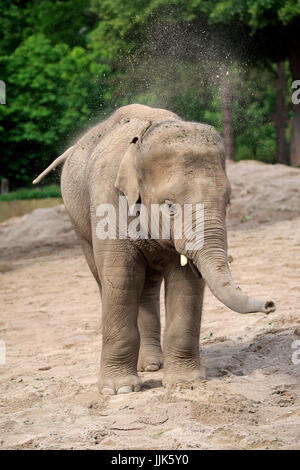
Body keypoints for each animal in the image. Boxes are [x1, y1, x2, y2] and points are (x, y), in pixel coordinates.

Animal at [33, 104, 276, 394]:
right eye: (169, 205)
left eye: (228, 202)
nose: (271, 304)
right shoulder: (108, 202)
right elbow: (121, 277)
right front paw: (118, 390)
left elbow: (186, 282)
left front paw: (185, 382)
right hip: (78, 222)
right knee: (109, 279)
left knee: (147, 287)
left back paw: (151, 366)